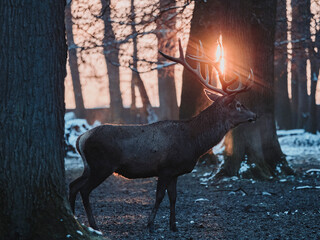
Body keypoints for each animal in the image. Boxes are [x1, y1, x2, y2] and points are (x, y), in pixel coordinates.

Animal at [69, 39, 258, 232]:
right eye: (238, 104)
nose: (255, 115)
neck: (194, 142)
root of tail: (80, 139)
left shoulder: (175, 172)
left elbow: (173, 197)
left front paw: (173, 226)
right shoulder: (165, 168)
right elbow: (159, 196)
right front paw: (150, 224)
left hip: (90, 166)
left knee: (73, 185)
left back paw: (75, 216)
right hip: (102, 164)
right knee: (84, 189)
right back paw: (94, 225)